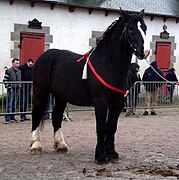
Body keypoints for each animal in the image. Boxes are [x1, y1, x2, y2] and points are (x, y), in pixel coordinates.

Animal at [30, 9, 148, 162]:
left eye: (144, 28)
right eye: (131, 28)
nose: (144, 52)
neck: (108, 64)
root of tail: (43, 57)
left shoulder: (118, 103)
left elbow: (111, 127)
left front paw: (112, 153)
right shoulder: (101, 102)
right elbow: (101, 127)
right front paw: (101, 156)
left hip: (61, 96)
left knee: (56, 116)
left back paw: (61, 145)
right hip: (41, 92)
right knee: (36, 114)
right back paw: (35, 145)